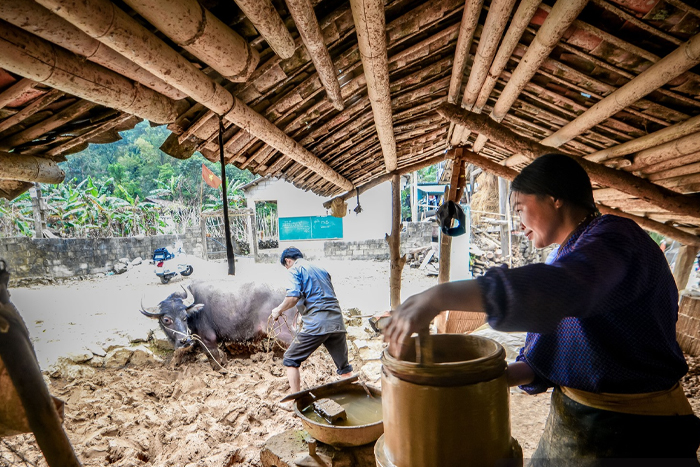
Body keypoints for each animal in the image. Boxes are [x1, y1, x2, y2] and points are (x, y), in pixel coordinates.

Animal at [141, 282, 296, 370]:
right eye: (166, 319)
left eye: (185, 316)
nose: (185, 340)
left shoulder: (208, 339)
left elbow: (213, 358)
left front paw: (220, 370)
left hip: (283, 329)